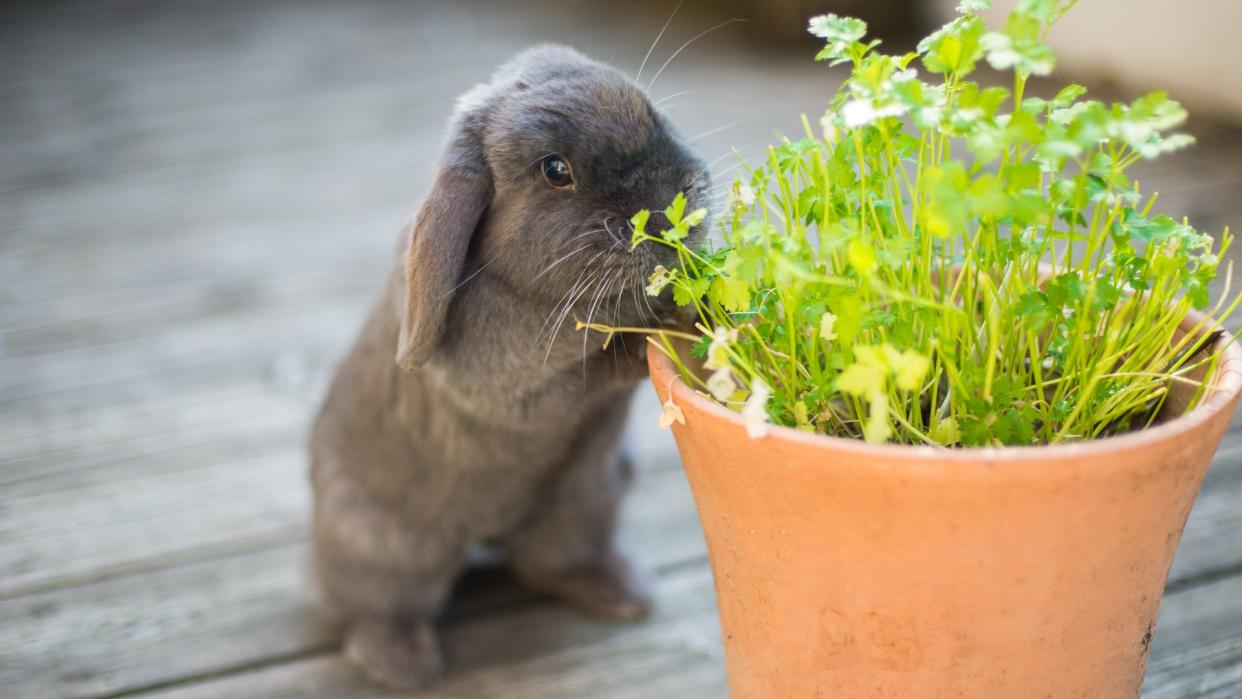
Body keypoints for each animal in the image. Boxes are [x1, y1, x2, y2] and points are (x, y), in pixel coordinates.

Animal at [310, 45, 710, 695]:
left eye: (652, 112)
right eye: (555, 171)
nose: (672, 206)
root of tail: (489, 532)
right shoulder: (508, 382)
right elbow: (584, 373)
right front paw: (664, 326)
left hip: (585, 500)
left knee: (545, 566)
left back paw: (622, 594)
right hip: (385, 546)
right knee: (377, 605)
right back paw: (403, 664)